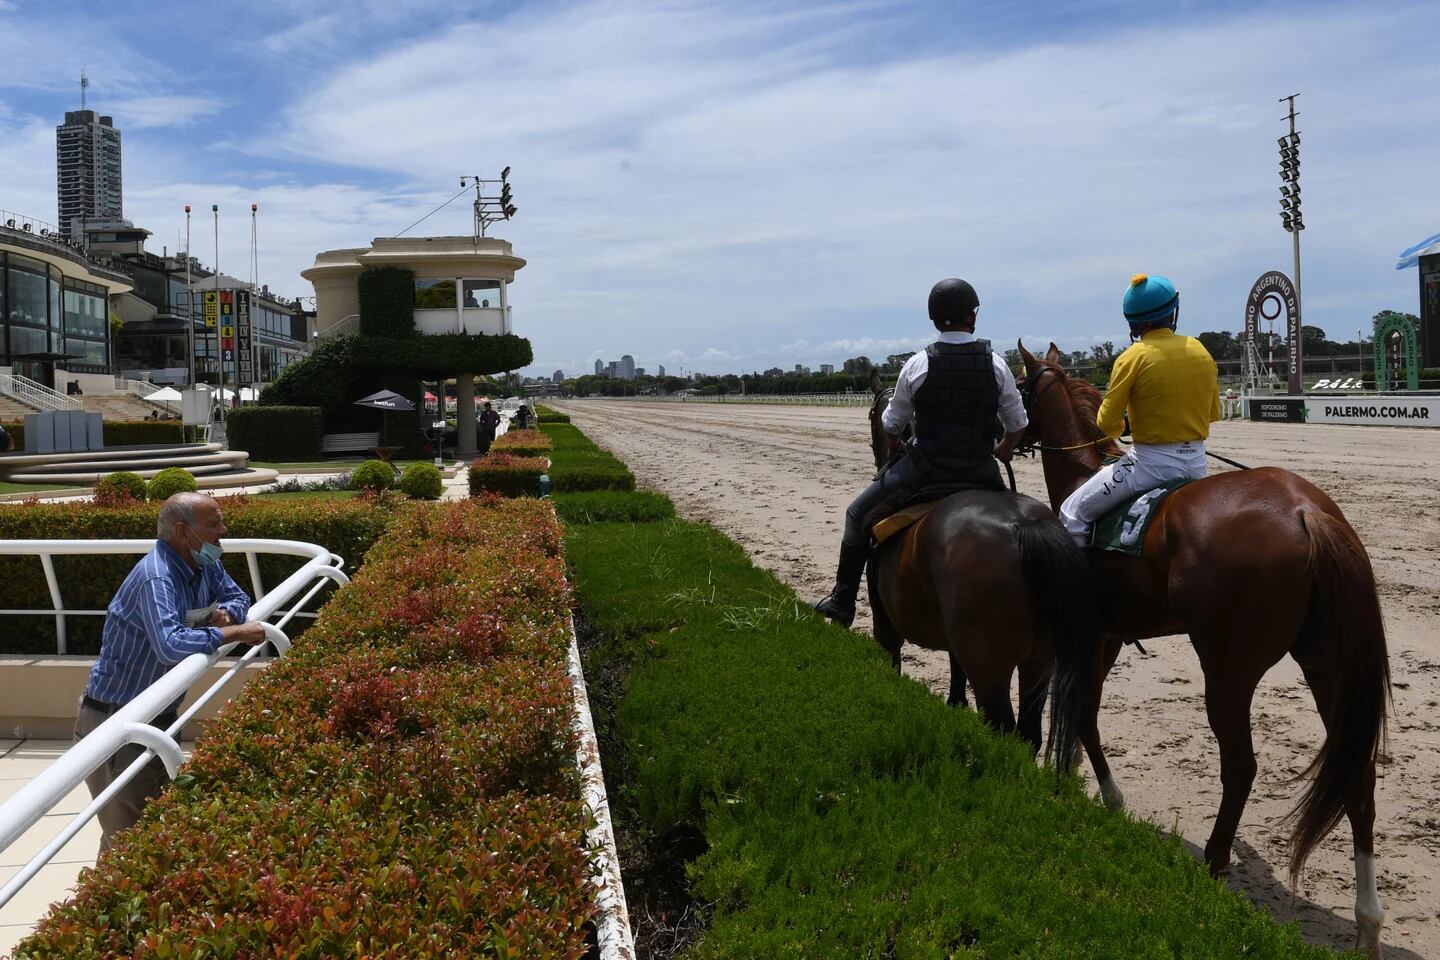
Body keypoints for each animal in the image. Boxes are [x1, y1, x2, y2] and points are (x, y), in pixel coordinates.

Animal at [864, 374, 1100, 765]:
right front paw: (955, 705)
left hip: (990, 669)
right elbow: (955, 672)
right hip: (1039, 660)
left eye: (872, 415)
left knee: (1003, 728)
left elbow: (892, 660)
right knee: (1027, 734)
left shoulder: (886, 624)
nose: (878, 452)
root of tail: (1022, 526)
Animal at [1019, 341, 1388, 955]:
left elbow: (1085, 709)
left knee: (1240, 765)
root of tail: (1306, 512)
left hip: (1228, 668)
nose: (1006, 435)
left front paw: (1105, 793)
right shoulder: (1111, 637)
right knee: (1355, 776)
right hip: (1329, 664)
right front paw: (1071, 768)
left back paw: (1214, 862)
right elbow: (1082, 707)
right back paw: (1367, 924)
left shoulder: (1094, 633)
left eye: (1018, 387)